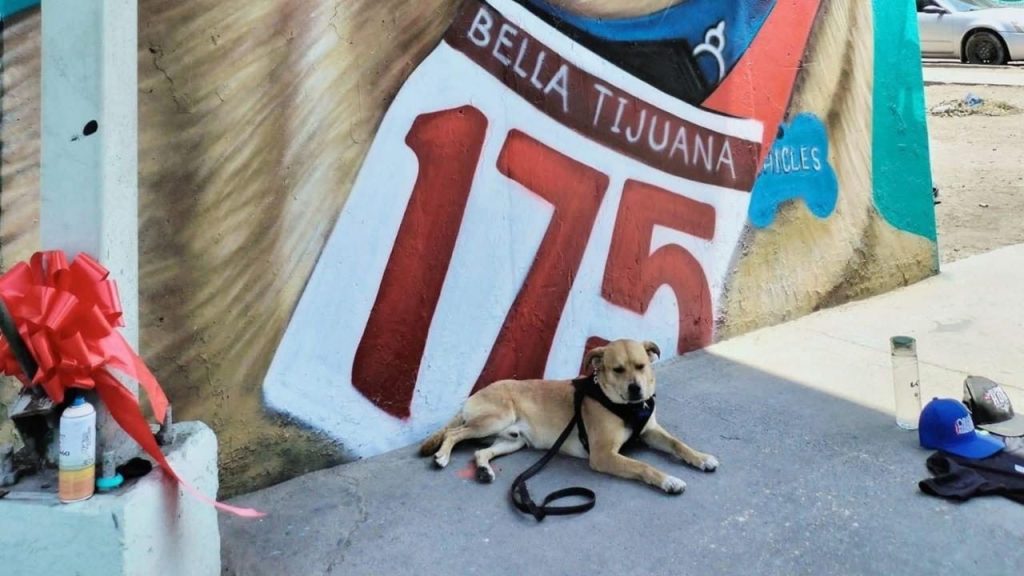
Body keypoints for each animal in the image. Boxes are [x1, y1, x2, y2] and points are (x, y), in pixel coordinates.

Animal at [419, 339, 718, 494]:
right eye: (617, 369)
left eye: (641, 366)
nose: (636, 389)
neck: (627, 407)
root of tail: (475, 393)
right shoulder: (603, 455)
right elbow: (643, 466)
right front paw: (669, 480)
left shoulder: (650, 431)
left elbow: (678, 444)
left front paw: (701, 458)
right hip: (494, 419)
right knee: (454, 433)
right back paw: (442, 456)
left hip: (512, 440)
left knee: (480, 452)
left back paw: (483, 470)